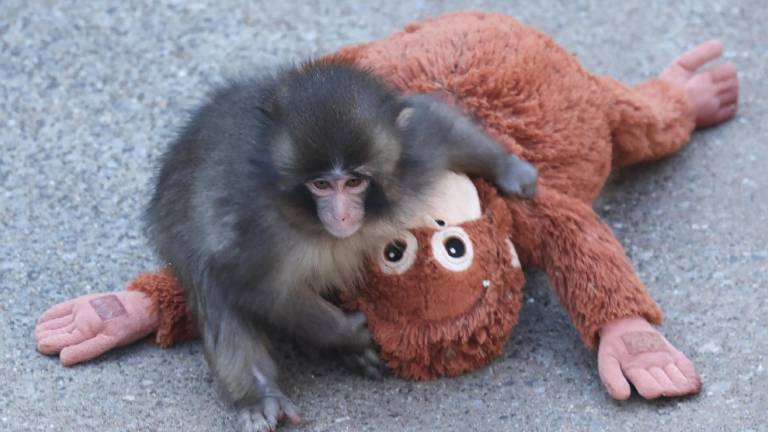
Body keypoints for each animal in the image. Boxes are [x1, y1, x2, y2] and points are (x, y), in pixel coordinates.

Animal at [145, 59, 537, 432]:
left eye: (353, 181)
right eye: (320, 185)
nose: (341, 214)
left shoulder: (412, 155)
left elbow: (436, 124)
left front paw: (510, 169)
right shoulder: (256, 230)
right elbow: (260, 289)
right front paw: (348, 333)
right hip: (173, 232)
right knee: (211, 283)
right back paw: (259, 393)